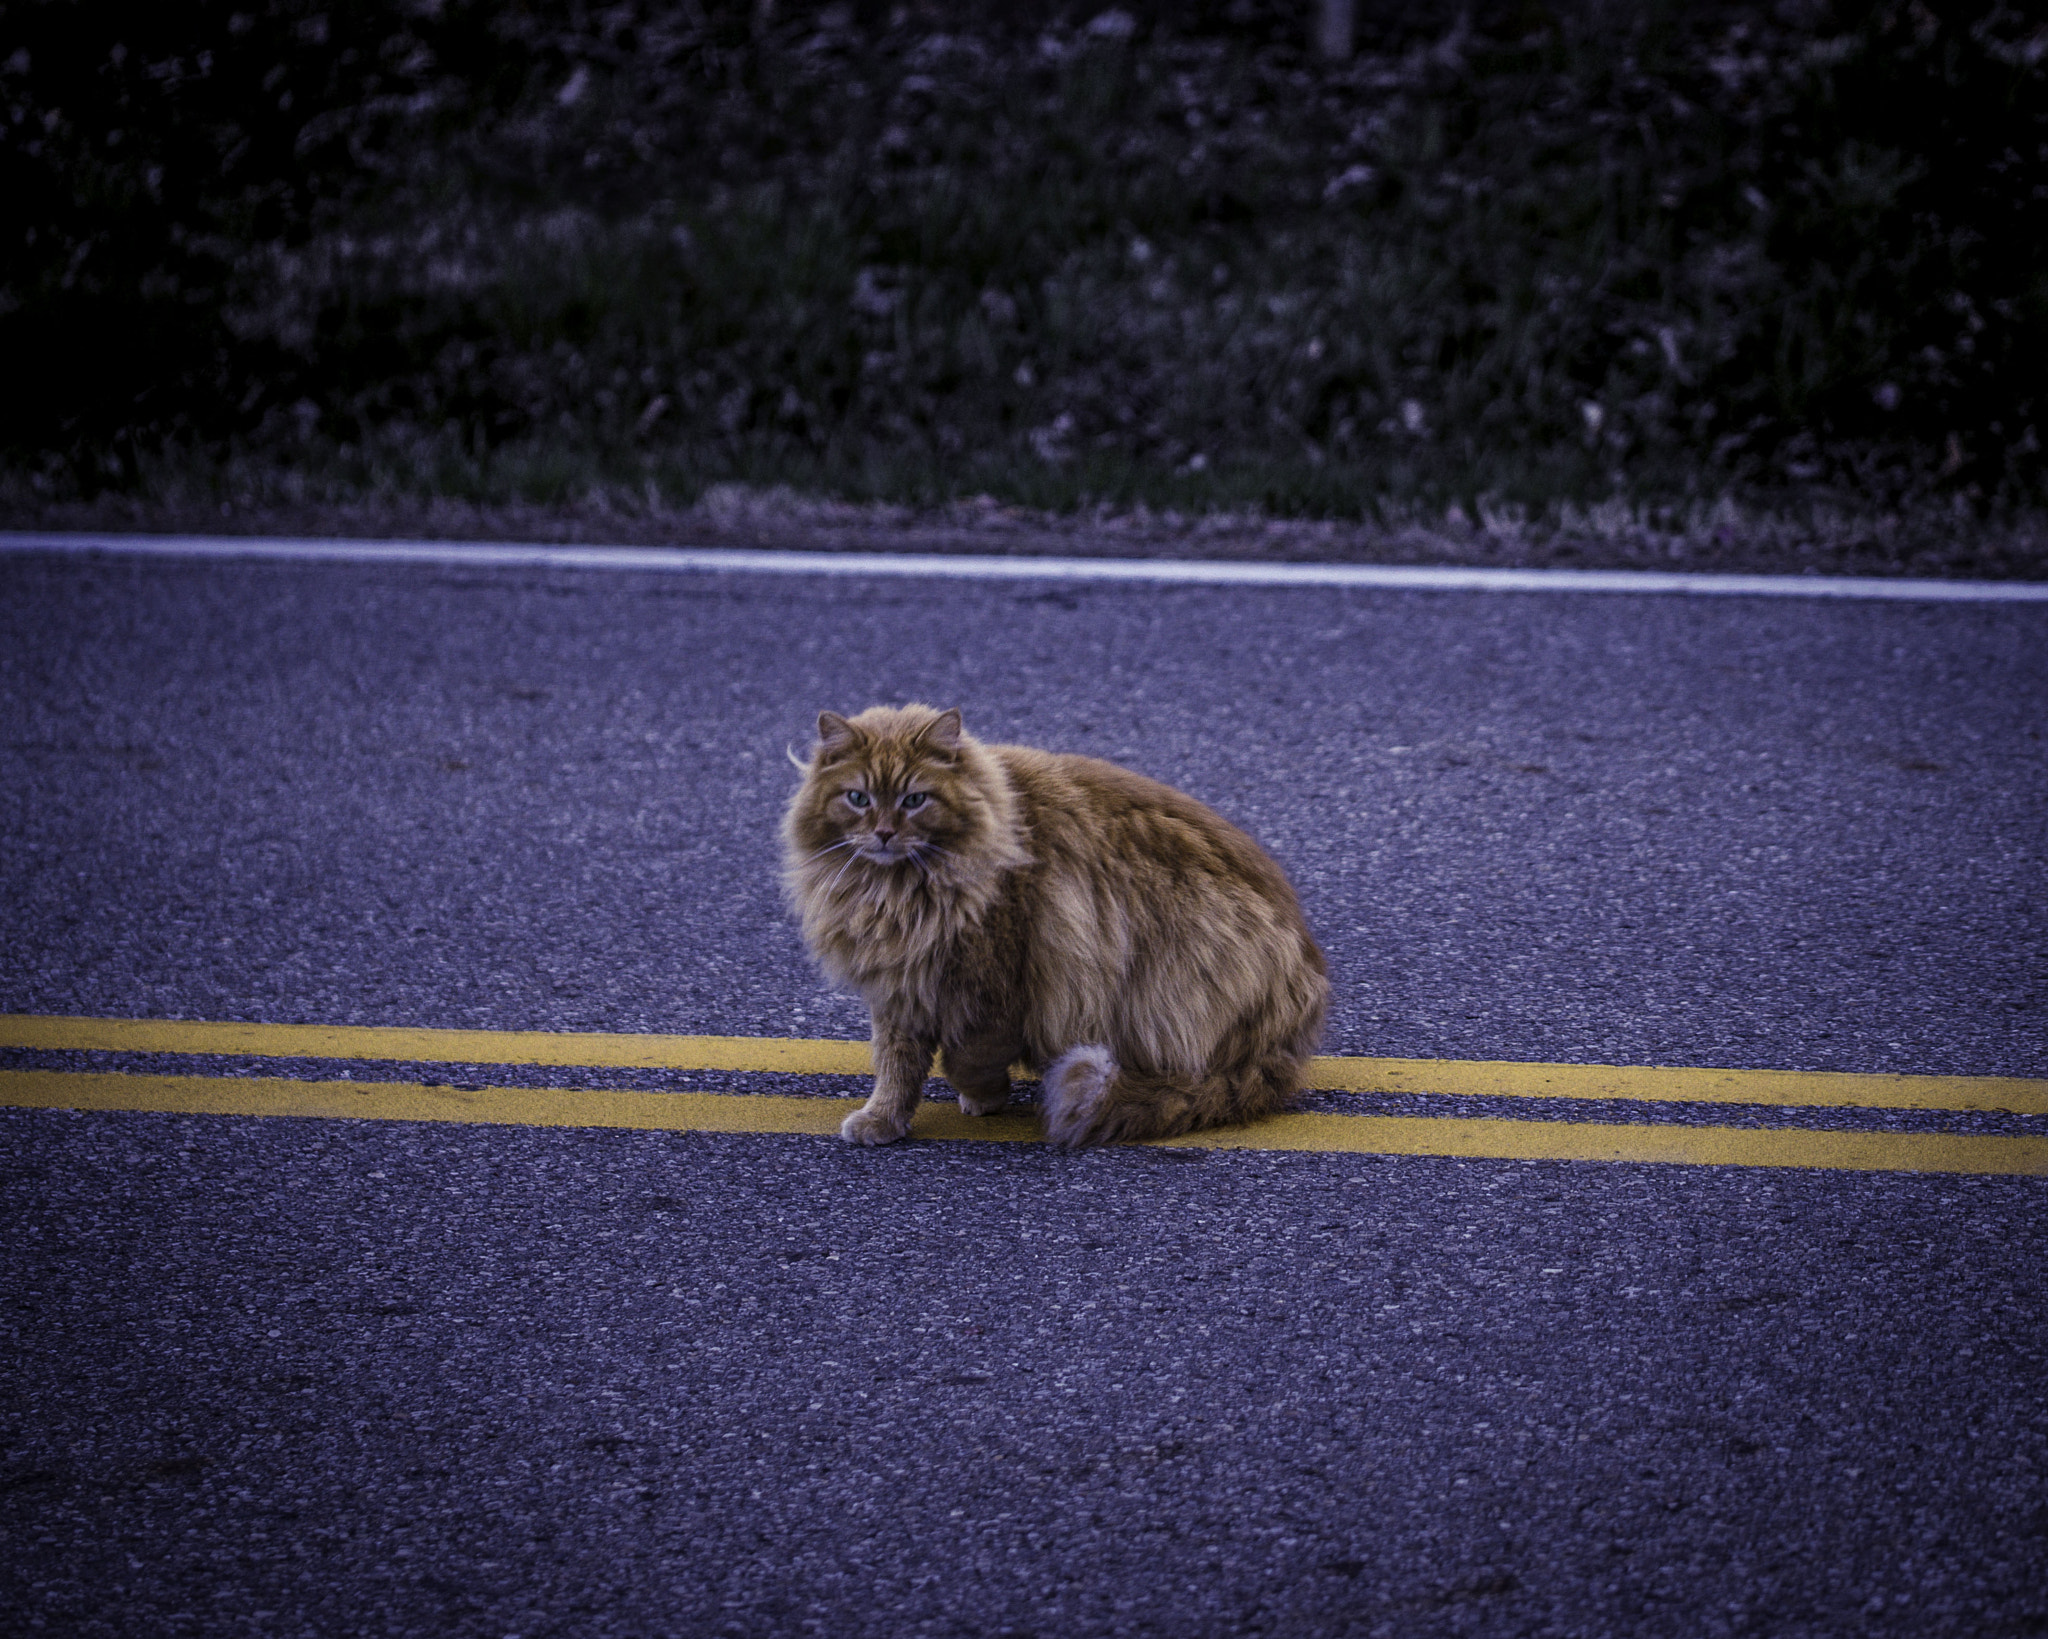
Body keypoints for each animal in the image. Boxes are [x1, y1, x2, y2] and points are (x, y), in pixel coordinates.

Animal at [778, 696, 1327, 1147]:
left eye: (915, 800)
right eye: (858, 798)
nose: (885, 833)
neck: (897, 893)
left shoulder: (995, 980)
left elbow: (965, 1057)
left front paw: (984, 1096)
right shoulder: (901, 984)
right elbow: (895, 1067)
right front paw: (882, 1121)